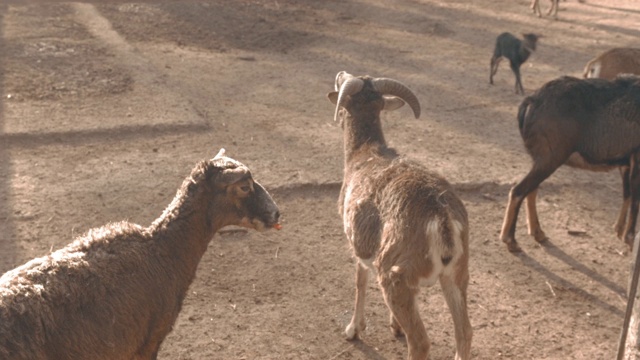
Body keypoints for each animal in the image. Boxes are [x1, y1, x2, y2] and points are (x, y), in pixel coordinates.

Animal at [328, 71, 472, 360]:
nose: (339, 74)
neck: (362, 155)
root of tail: (441, 218)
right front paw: (395, 326)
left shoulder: (357, 246)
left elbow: (360, 282)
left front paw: (352, 330)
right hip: (457, 274)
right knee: (464, 333)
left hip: (394, 276)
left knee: (420, 342)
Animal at [502, 75, 640, 252]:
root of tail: (532, 102)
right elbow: (635, 201)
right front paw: (629, 240)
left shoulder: (625, 163)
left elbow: (627, 194)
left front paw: (618, 229)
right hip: (550, 159)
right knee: (518, 191)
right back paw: (511, 240)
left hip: (540, 160)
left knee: (531, 190)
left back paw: (538, 233)